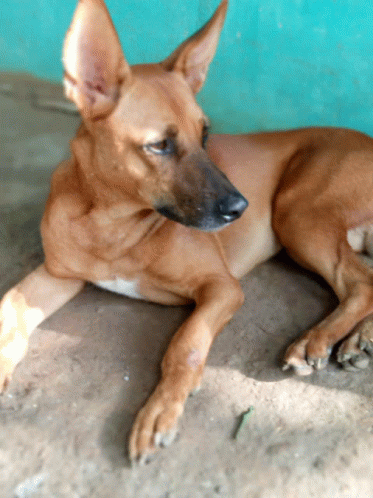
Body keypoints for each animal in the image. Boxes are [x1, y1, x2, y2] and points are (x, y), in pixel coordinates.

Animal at [0, 0, 372, 462]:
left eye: (205, 133)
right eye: (159, 145)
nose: (241, 208)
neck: (112, 222)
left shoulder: (222, 287)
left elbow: (186, 344)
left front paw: (161, 409)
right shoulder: (57, 274)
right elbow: (9, 309)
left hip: (297, 214)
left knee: (360, 282)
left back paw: (318, 337)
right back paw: (359, 339)